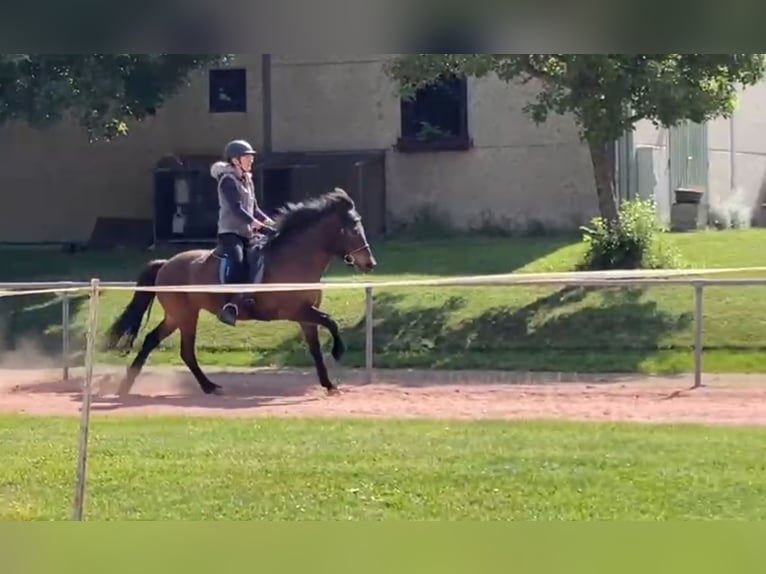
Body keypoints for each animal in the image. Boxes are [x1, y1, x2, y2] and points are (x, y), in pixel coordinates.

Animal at [103, 187, 377, 396]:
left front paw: (329, 384)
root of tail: (165, 264)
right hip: (185, 316)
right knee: (185, 351)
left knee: (153, 341)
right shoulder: (295, 311)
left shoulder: (305, 316)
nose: (370, 263)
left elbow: (316, 348)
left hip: (176, 316)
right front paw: (338, 352)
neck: (295, 259)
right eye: (352, 228)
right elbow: (330, 321)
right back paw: (207, 386)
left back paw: (128, 386)